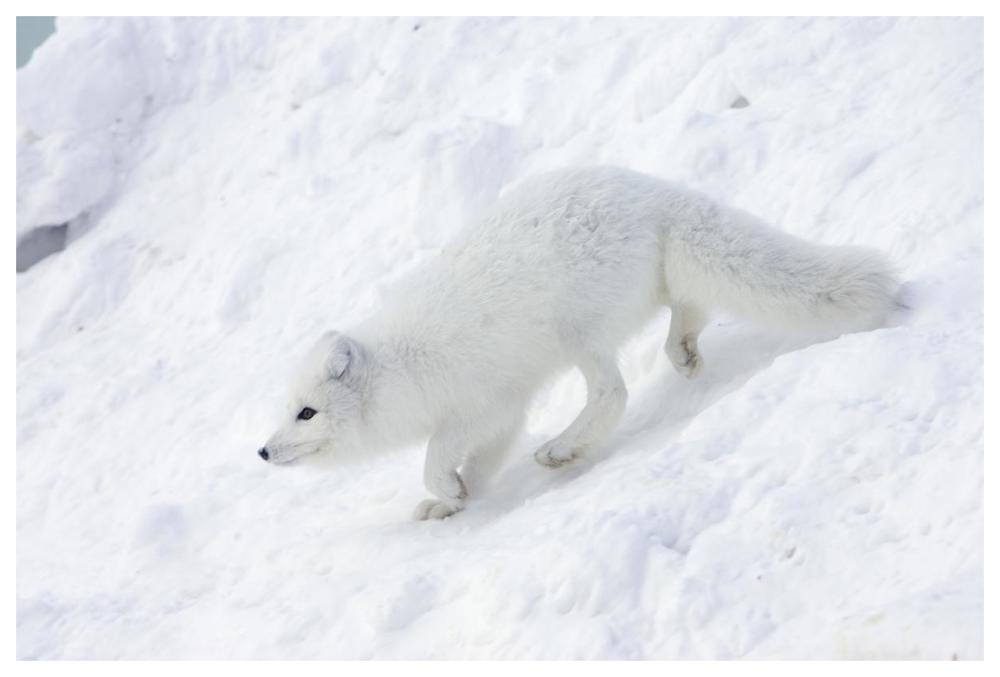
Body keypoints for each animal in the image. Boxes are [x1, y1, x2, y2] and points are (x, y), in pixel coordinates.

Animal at [258, 166, 899, 520]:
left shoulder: (481, 404)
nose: (262, 452)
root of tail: (653, 193)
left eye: (306, 412)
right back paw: (683, 352)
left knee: (613, 393)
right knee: (689, 306)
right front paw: (455, 501)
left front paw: (446, 488)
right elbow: (480, 464)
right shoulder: (504, 411)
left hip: (578, 334)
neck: (401, 369)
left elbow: (435, 455)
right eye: (284, 409)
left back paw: (563, 449)